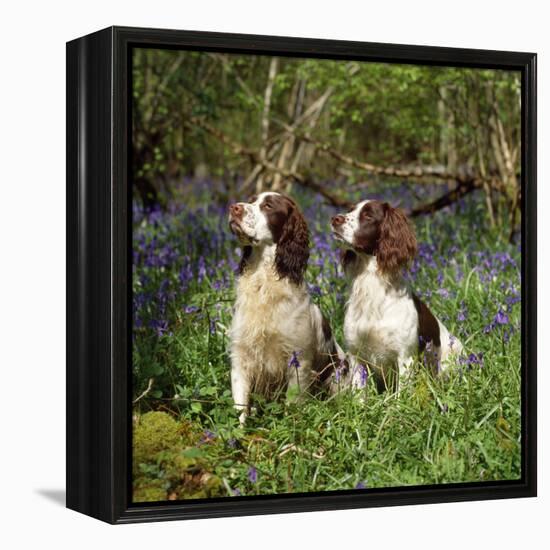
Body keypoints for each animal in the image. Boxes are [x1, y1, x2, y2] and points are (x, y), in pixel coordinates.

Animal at [231, 192, 348, 424]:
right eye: (251, 199)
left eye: (268, 205)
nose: (233, 208)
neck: (263, 283)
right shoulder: (241, 357)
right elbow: (240, 409)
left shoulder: (298, 360)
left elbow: (292, 404)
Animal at [332, 199, 462, 392]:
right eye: (350, 210)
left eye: (368, 215)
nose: (335, 219)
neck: (372, 287)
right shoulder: (356, 356)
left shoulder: (405, 358)